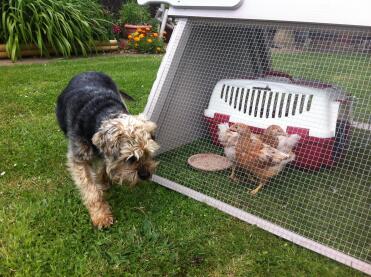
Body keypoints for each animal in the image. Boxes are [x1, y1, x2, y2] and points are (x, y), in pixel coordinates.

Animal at [57, 72, 160, 227]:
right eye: (131, 158)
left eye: (148, 153)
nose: (145, 175)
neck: (102, 113)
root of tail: (87, 71)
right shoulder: (79, 160)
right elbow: (91, 190)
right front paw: (101, 215)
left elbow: (104, 167)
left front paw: (104, 182)